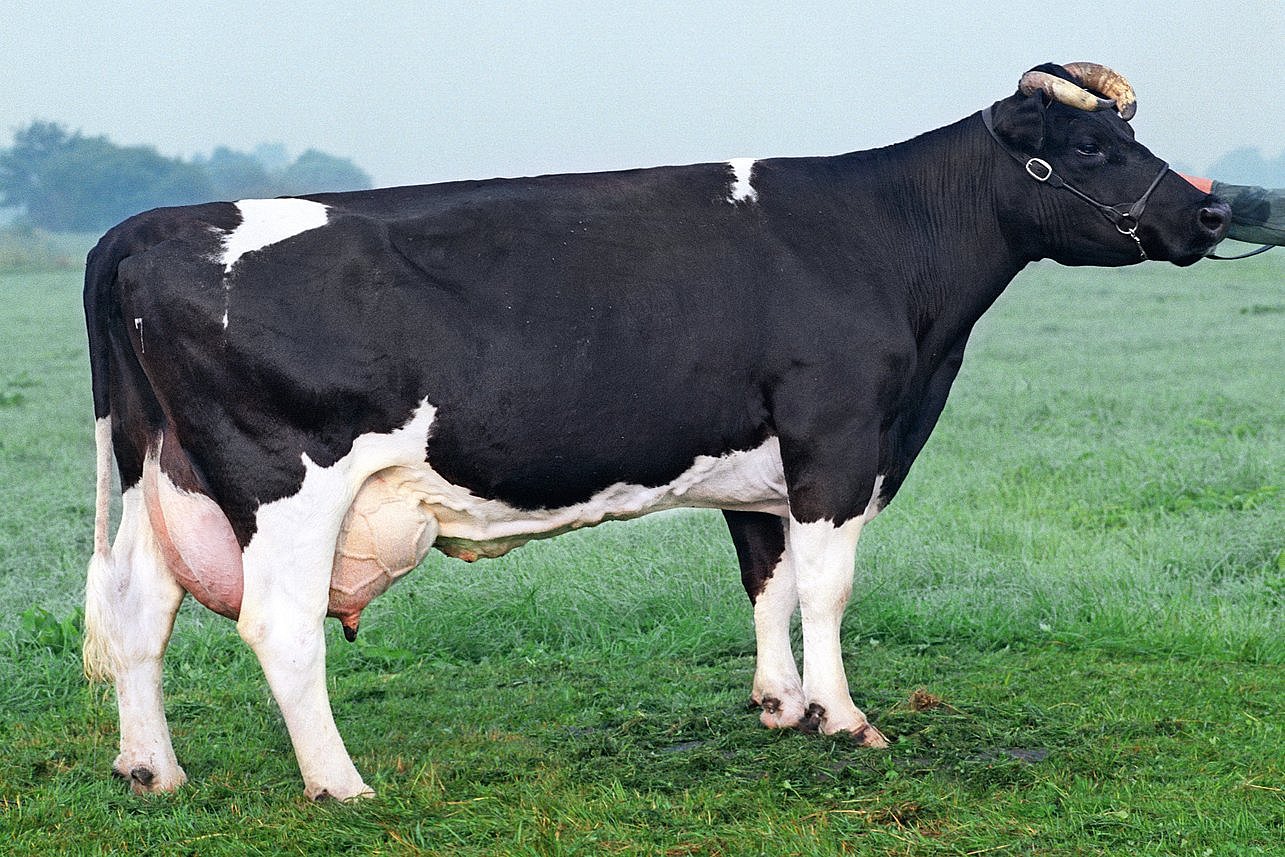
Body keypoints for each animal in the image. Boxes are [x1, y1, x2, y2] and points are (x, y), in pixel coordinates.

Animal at [82, 61, 1233, 806]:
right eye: (1089, 146)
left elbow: (767, 578)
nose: (1212, 215)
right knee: (280, 626)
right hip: (286, 483)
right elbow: (827, 585)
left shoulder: (763, 460)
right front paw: (846, 717)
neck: (883, 244)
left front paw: (781, 704)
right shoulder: (836, 437)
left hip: (161, 476)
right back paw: (340, 783)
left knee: (137, 611)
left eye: (1131, 139)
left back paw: (153, 770)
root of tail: (148, 222)